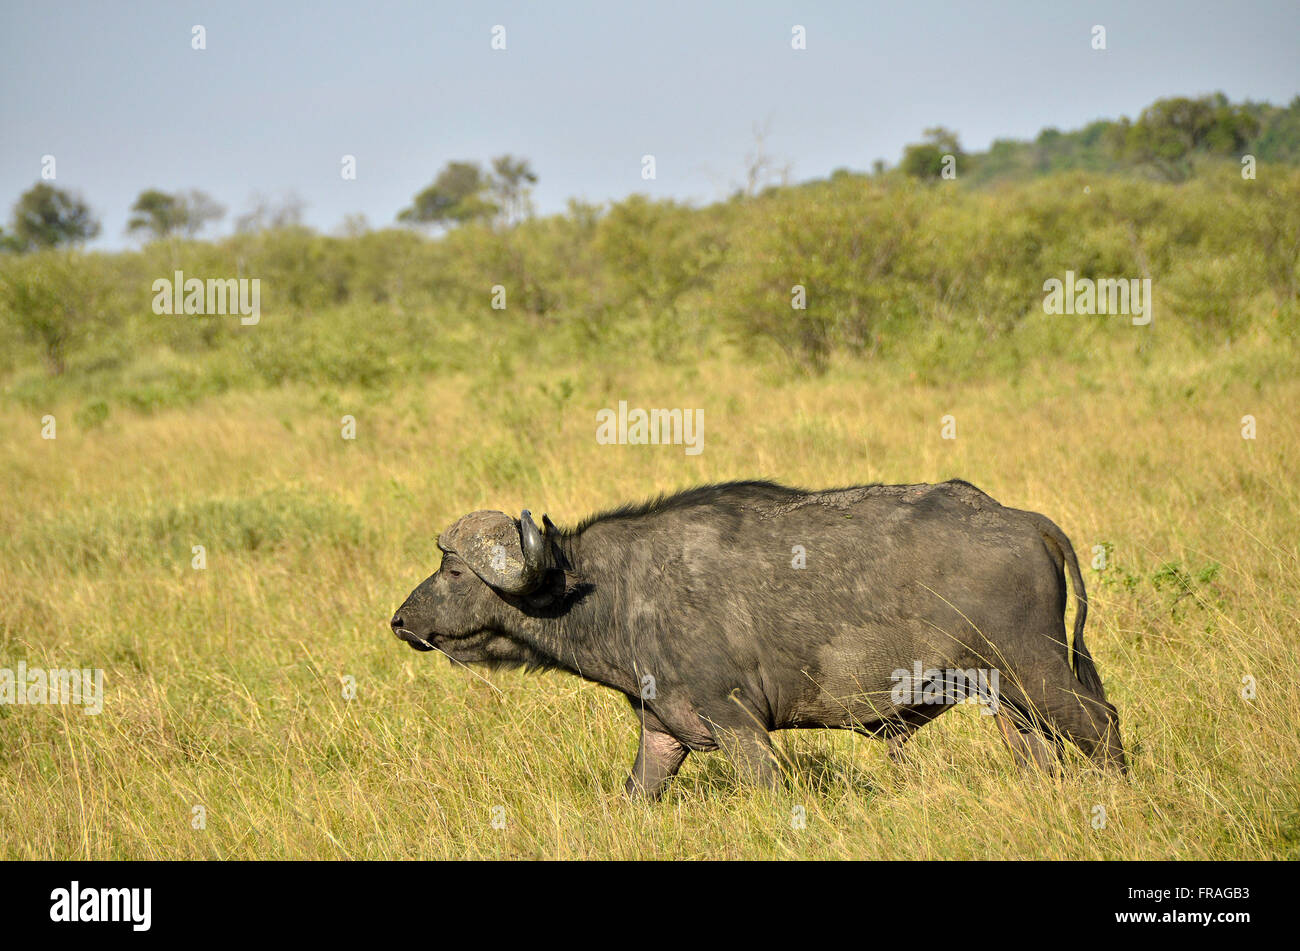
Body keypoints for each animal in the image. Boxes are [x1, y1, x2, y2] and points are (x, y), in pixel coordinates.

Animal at [392, 480, 1125, 799]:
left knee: (1104, 724)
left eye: (452, 571)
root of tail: (1024, 519)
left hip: (1040, 673)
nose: (400, 621)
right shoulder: (662, 734)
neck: (616, 591)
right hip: (1006, 698)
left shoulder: (739, 724)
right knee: (1039, 754)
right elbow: (633, 796)